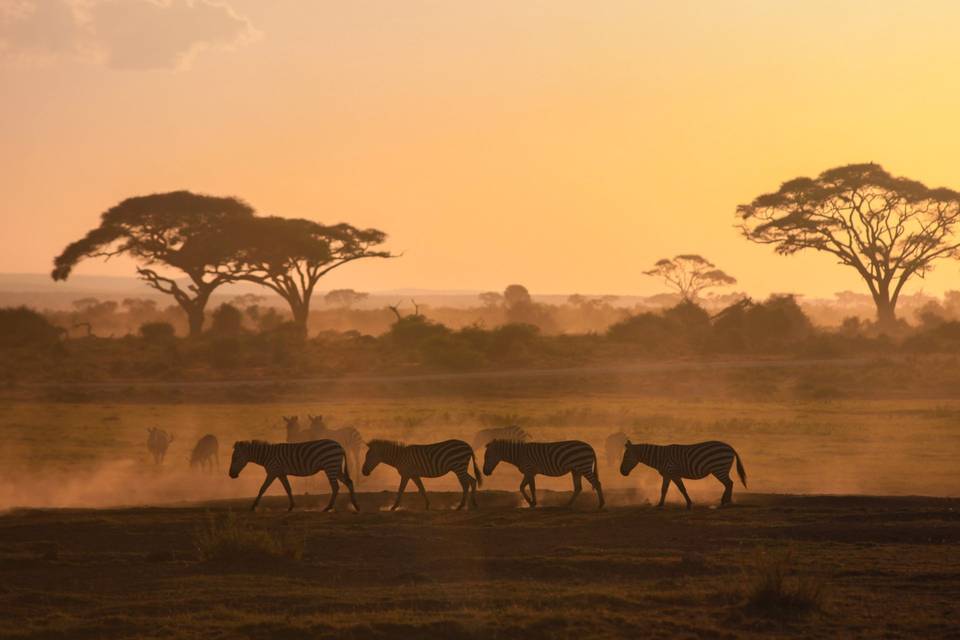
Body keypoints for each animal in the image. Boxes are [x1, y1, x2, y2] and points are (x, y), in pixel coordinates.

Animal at [229, 438, 360, 512]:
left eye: (235, 458)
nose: (231, 475)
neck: (267, 456)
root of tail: (340, 446)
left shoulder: (273, 471)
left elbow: (262, 488)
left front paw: (253, 506)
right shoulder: (281, 473)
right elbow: (288, 489)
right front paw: (291, 506)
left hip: (330, 466)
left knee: (335, 487)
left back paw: (328, 507)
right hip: (335, 467)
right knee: (349, 482)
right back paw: (355, 506)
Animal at [620, 440, 748, 510]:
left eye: (626, 456)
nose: (621, 472)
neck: (660, 458)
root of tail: (729, 447)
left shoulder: (673, 472)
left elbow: (682, 489)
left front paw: (689, 504)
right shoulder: (668, 475)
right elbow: (664, 489)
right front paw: (660, 504)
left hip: (719, 468)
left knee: (729, 483)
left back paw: (726, 502)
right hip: (721, 468)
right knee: (729, 484)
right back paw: (725, 501)